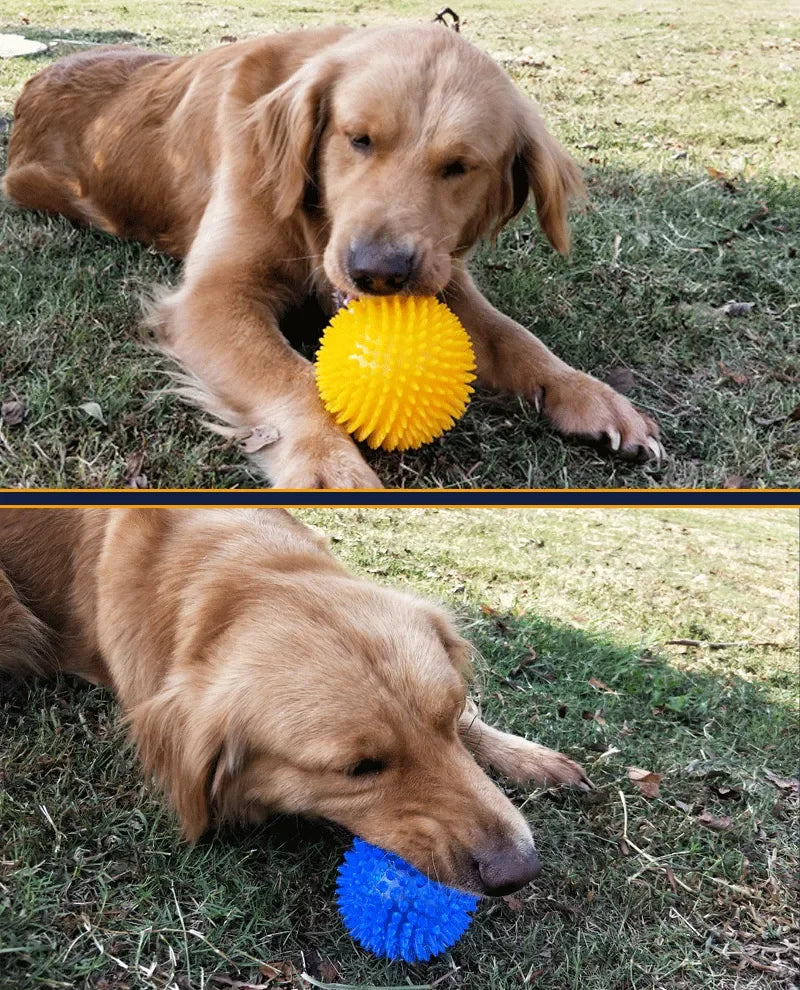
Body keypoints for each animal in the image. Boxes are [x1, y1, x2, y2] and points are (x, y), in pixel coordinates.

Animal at [1, 23, 664, 488]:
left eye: (459, 166)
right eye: (358, 139)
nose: (378, 272)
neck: (313, 224)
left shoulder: (442, 274)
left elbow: (515, 337)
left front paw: (591, 394)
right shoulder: (214, 296)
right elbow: (292, 377)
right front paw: (325, 460)